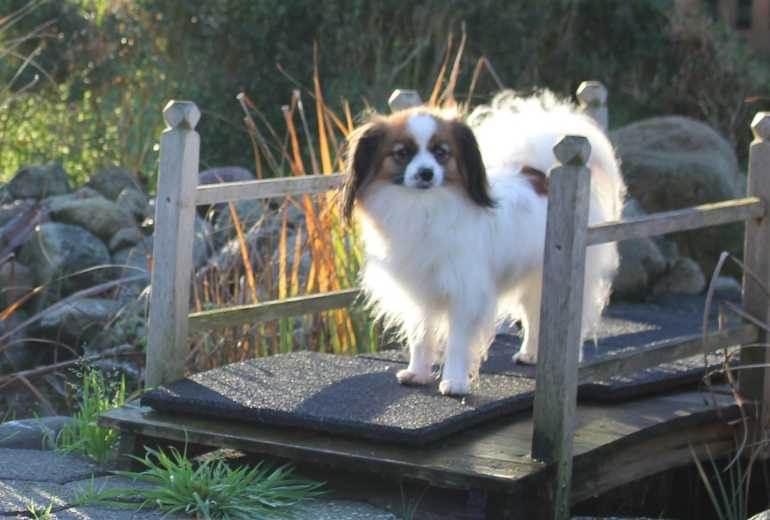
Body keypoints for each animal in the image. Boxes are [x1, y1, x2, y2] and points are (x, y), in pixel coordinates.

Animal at [342, 92, 624, 394]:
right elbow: (420, 336)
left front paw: (454, 382)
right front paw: (417, 373)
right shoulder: (418, 291)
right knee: (533, 314)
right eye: (402, 153)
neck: (423, 206)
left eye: (441, 153)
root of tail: (540, 175)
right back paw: (530, 354)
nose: (426, 173)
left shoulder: (465, 293)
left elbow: (457, 342)